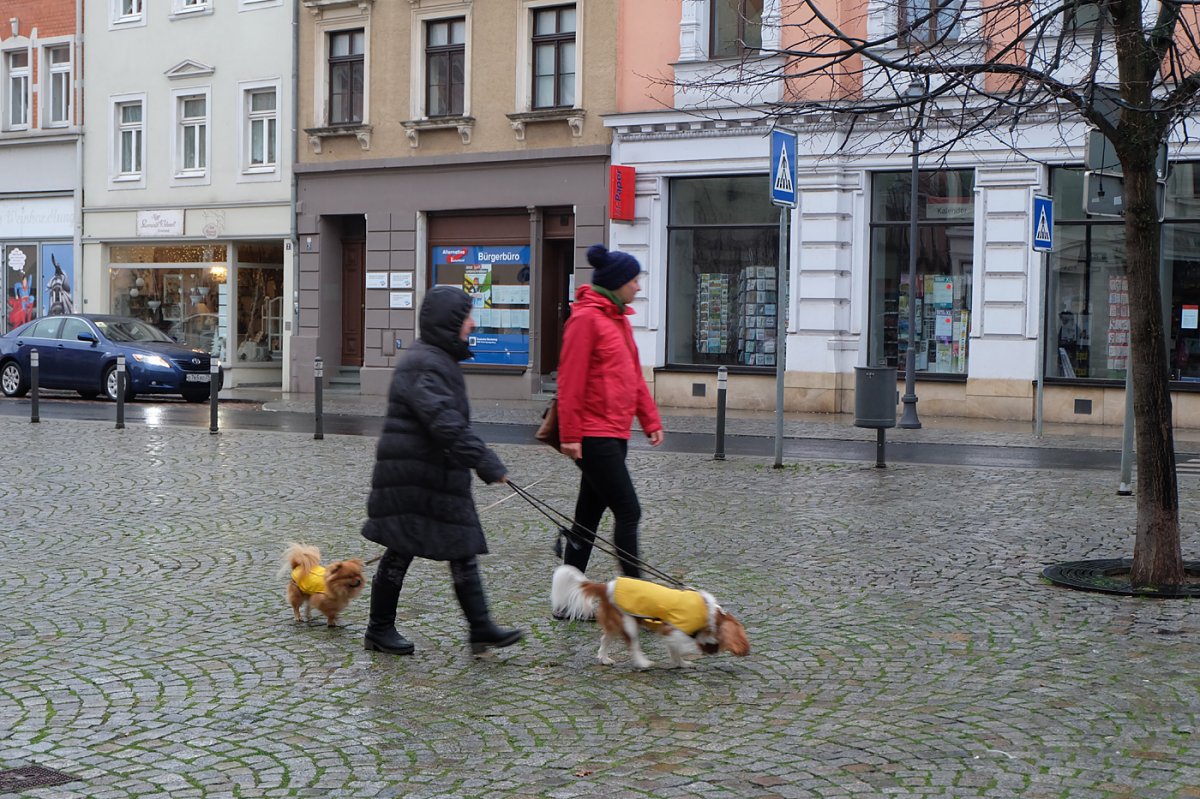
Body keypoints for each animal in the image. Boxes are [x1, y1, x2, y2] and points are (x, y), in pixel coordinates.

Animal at [552, 563, 748, 667]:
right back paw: (643, 663)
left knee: (605, 640)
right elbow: (684, 645)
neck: (708, 612)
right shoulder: (673, 631)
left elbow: (676, 651)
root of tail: (606, 586)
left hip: (616, 624)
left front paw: (682, 664)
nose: (713, 652)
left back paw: (604, 659)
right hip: (629, 624)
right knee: (633, 646)